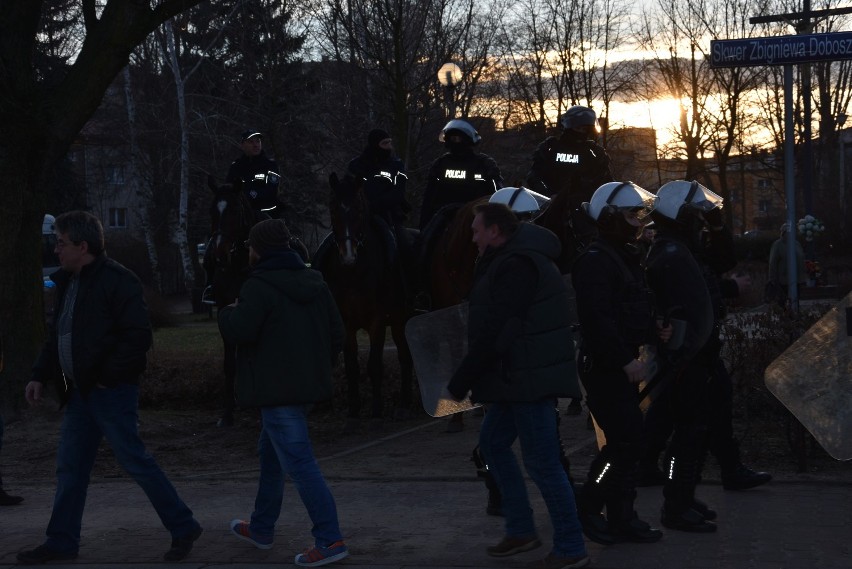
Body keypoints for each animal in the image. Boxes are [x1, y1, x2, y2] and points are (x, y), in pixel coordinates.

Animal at [316, 173, 416, 430]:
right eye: (332, 208)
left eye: (359, 209)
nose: (348, 255)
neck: (354, 273)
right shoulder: (345, 322)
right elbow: (352, 367)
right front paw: (353, 411)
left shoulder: (377, 321)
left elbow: (374, 365)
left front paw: (377, 410)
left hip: (401, 321)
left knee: (405, 357)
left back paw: (405, 404)